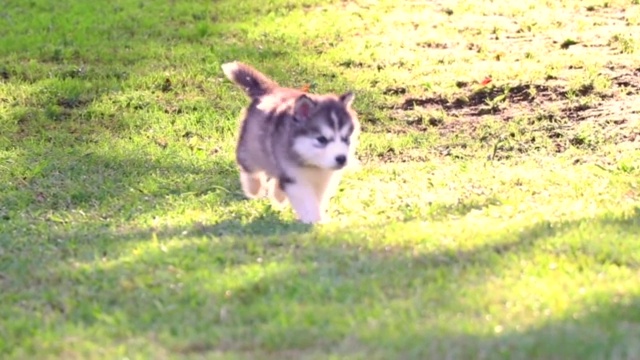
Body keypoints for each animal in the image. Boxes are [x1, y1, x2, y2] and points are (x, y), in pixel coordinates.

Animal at [221, 62, 360, 225]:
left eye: (346, 138)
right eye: (322, 139)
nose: (342, 159)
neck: (313, 165)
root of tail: (270, 90)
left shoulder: (324, 179)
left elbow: (319, 199)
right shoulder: (296, 179)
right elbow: (307, 201)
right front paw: (316, 221)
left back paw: (278, 195)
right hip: (250, 145)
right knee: (250, 168)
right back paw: (254, 188)